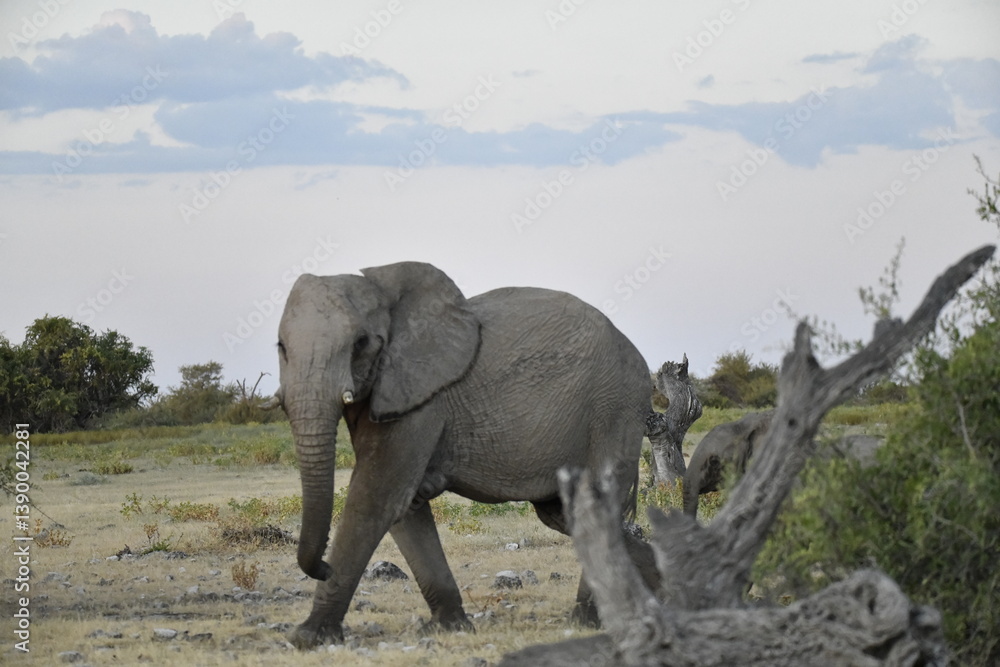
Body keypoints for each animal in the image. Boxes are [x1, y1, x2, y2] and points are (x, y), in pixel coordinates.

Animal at [273, 261, 659, 649]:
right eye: (282, 348)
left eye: (361, 343)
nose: (323, 568)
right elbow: (405, 509)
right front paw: (449, 627)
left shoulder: (421, 400)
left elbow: (376, 500)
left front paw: (308, 637)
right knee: (563, 514)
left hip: (615, 409)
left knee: (593, 508)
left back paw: (587, 620)